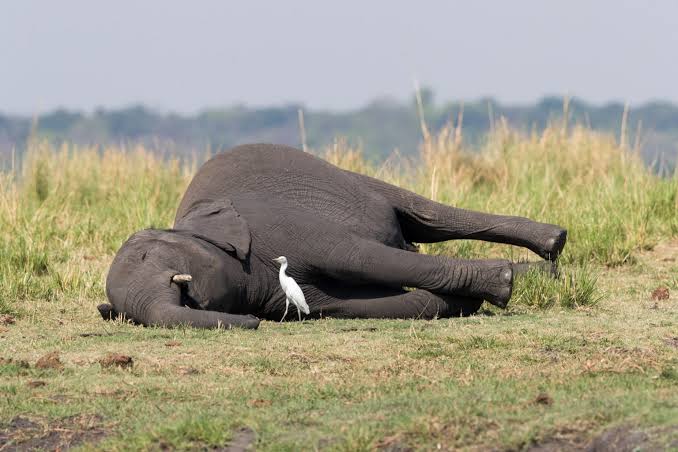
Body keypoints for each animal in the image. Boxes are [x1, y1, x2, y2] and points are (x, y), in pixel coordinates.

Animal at [99, 144, 567, 329]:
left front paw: (501, 284)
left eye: (155, 259)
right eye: (123, 314)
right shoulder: (281, 292)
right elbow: (363, 304)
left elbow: (357, 256)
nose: (253, 322)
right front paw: (464, 300)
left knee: (426, 215)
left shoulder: (278, 226)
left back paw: (554, 244)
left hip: (353, 179)